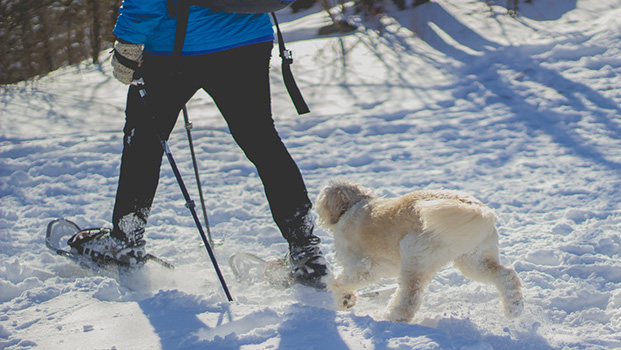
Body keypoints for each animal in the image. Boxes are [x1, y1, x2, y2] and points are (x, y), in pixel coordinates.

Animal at [314, 180, 524, 322]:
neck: (354, 206)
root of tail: (479, 210)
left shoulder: (364, 268)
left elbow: (338, 282)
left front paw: (344, 298)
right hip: (474, 259)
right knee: (506, 275)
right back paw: (514, 309)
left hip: (415, 258)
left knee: (409, 299)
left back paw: (389, 317)